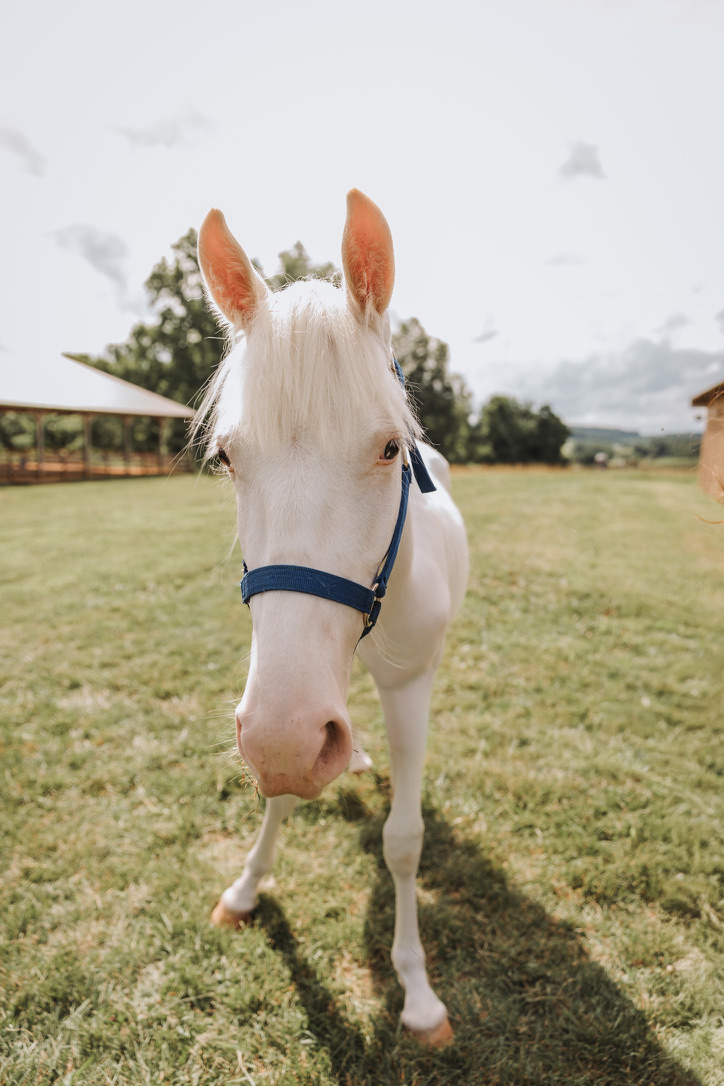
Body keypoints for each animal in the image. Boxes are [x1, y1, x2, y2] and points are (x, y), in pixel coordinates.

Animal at [195, 189, 468, 1047]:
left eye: (387, 449)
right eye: (227, 458)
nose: (286, 742)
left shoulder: (406, 689)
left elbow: (404, 842)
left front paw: (417, 992)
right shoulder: (286, 697)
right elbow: (280, 790)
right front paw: (246, 889)